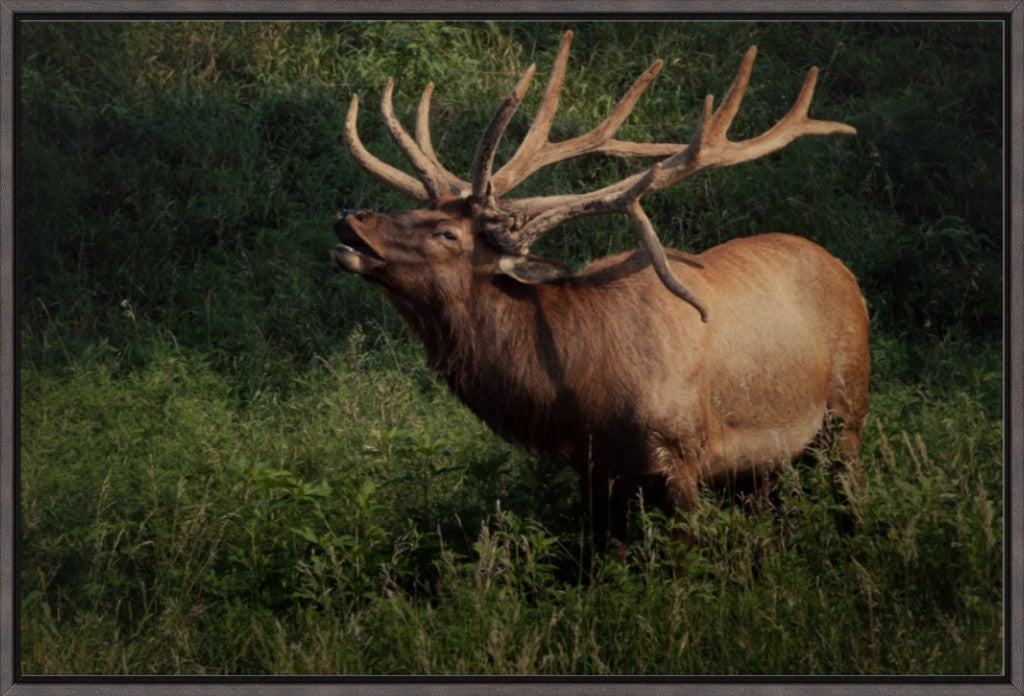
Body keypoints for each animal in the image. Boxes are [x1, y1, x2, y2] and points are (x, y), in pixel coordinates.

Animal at [331, 31, 868, 552]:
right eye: (421, 210)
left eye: (448, 233)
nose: (350, 216)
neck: (580, 388)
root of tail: (843, 269)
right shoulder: (595, 471)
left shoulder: (683, 455)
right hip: (762, 465)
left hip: (848, 411)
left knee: (848, 499)